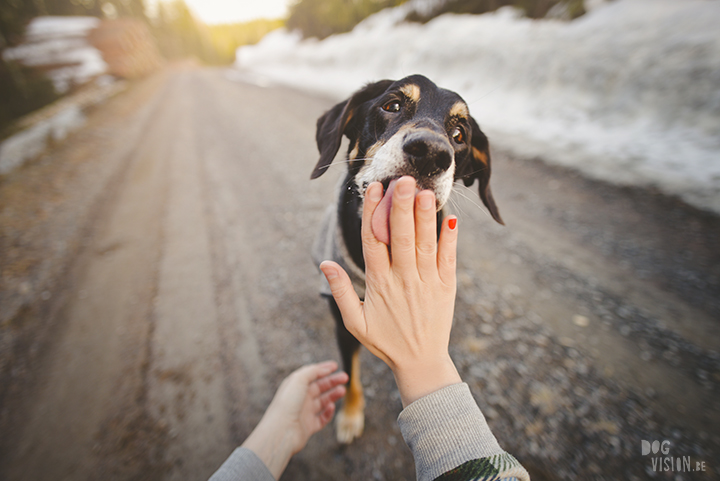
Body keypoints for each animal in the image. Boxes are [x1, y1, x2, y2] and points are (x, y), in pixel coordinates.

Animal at [312, 74, 504, 442]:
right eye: (393, 105)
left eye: (459, 135)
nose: (431, 153)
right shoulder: (344, 323)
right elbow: (350, 374)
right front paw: (350, 416)